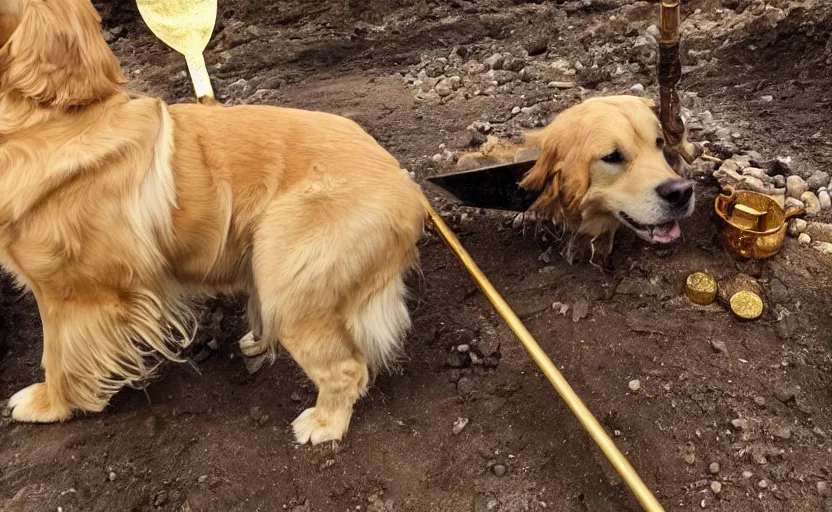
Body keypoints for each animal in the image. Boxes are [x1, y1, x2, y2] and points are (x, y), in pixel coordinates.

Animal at [0, 0, 426, 444]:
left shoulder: (74, 294)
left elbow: (58, 357)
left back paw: (324, 424)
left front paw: (49, 404)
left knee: (346, 368)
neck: (48, 118)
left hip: (289, 283)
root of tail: (408, 188)